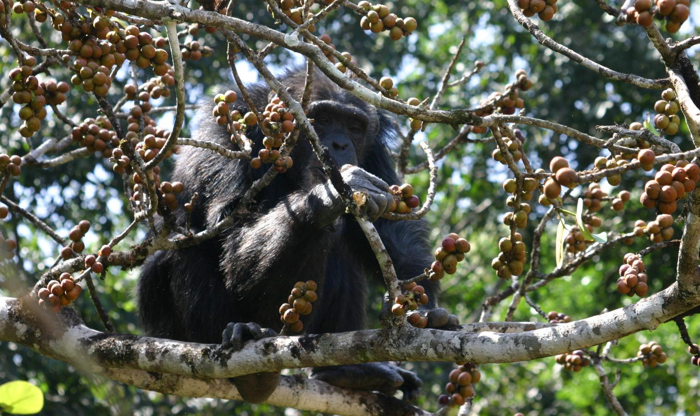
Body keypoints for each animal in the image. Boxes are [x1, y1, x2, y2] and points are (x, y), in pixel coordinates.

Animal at [137, 68, 454, 404]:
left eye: (354, 127)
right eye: (323, 119)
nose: (340, 144)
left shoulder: (376, 151)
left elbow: (390, 228)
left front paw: (419, 308)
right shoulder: (225, 136)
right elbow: (229, 229)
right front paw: (330, 194)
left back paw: (350, 373)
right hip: (169, 332)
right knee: (188, 249)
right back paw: (238, 346)